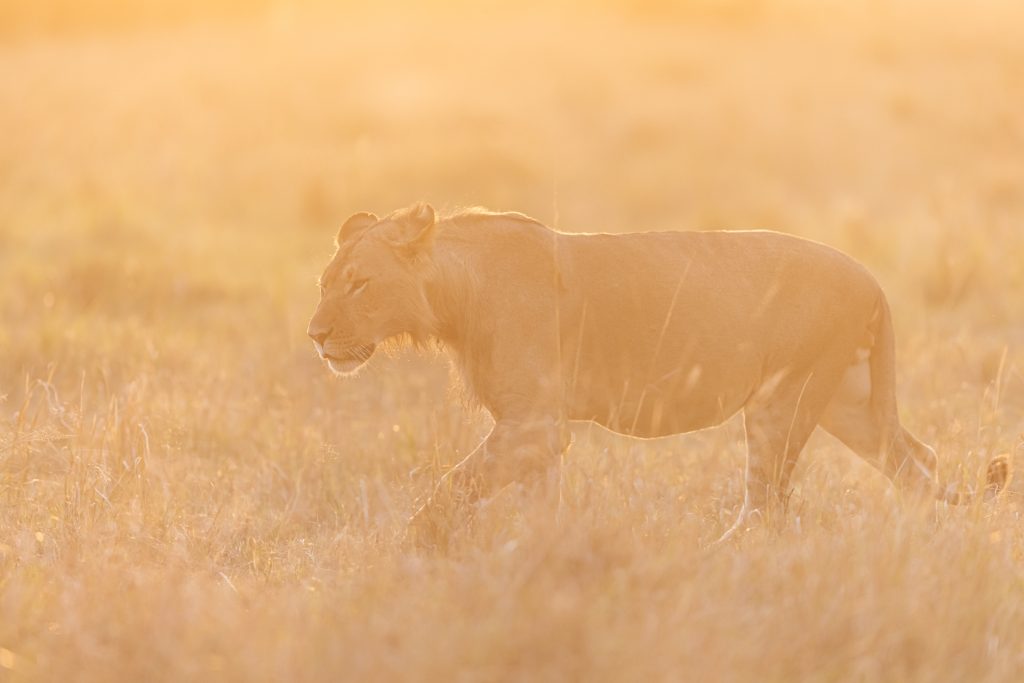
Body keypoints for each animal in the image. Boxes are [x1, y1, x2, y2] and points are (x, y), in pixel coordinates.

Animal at [308, 202, 1010, 542]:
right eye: (325, 283)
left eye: (360, 284)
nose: (315, 336)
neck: (453, 293)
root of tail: (873, 280)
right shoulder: (537, 432)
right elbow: (537, 507)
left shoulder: (534, 424)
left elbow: (450, 489)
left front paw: (407, 551)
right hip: (848, 401)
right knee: (918, 463)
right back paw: (921, 543)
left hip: (783, 400)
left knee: (766, 506)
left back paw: (718, 560)